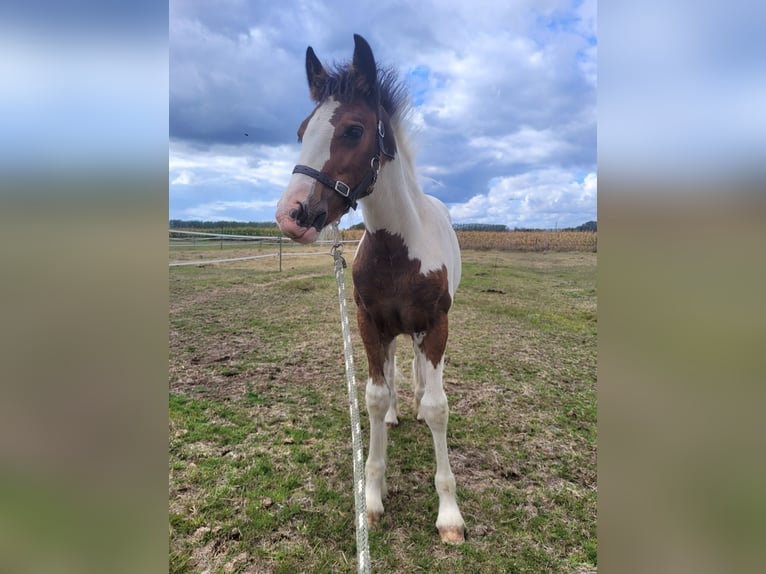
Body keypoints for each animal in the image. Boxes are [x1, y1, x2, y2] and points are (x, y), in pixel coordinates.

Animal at [275, 34, 465, 544]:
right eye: (301, 130)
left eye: (354, 130)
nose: (291, 215)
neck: (399, 249)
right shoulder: (368, 323)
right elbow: (374, 398)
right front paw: (373, 497)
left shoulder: (436, 325)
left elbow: (438, 406)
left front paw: (449, 514)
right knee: (397, 366)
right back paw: (400, 411)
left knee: (422, 373)